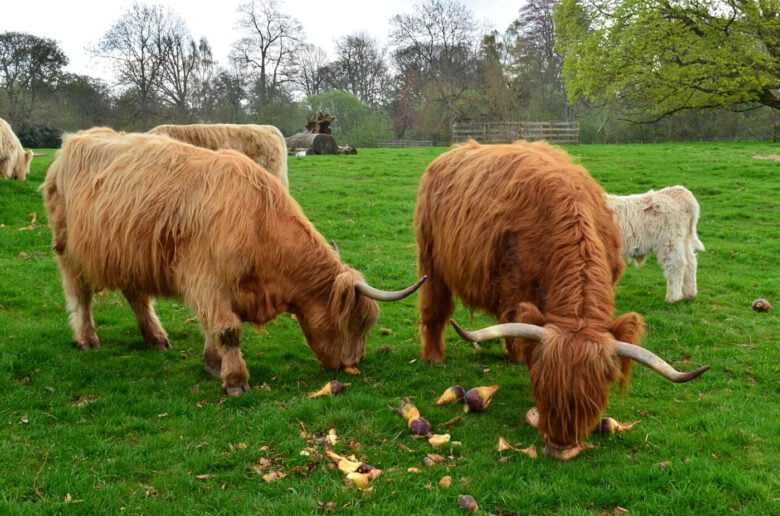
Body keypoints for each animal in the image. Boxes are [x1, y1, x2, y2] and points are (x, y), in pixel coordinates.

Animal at [414, 140, 708, 459]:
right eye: (542, 383)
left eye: (598, 388)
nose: (561, 446)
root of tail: (457, 149)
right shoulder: (515, 288)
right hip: (432, 261)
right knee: (435, 308)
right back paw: (434, 356)